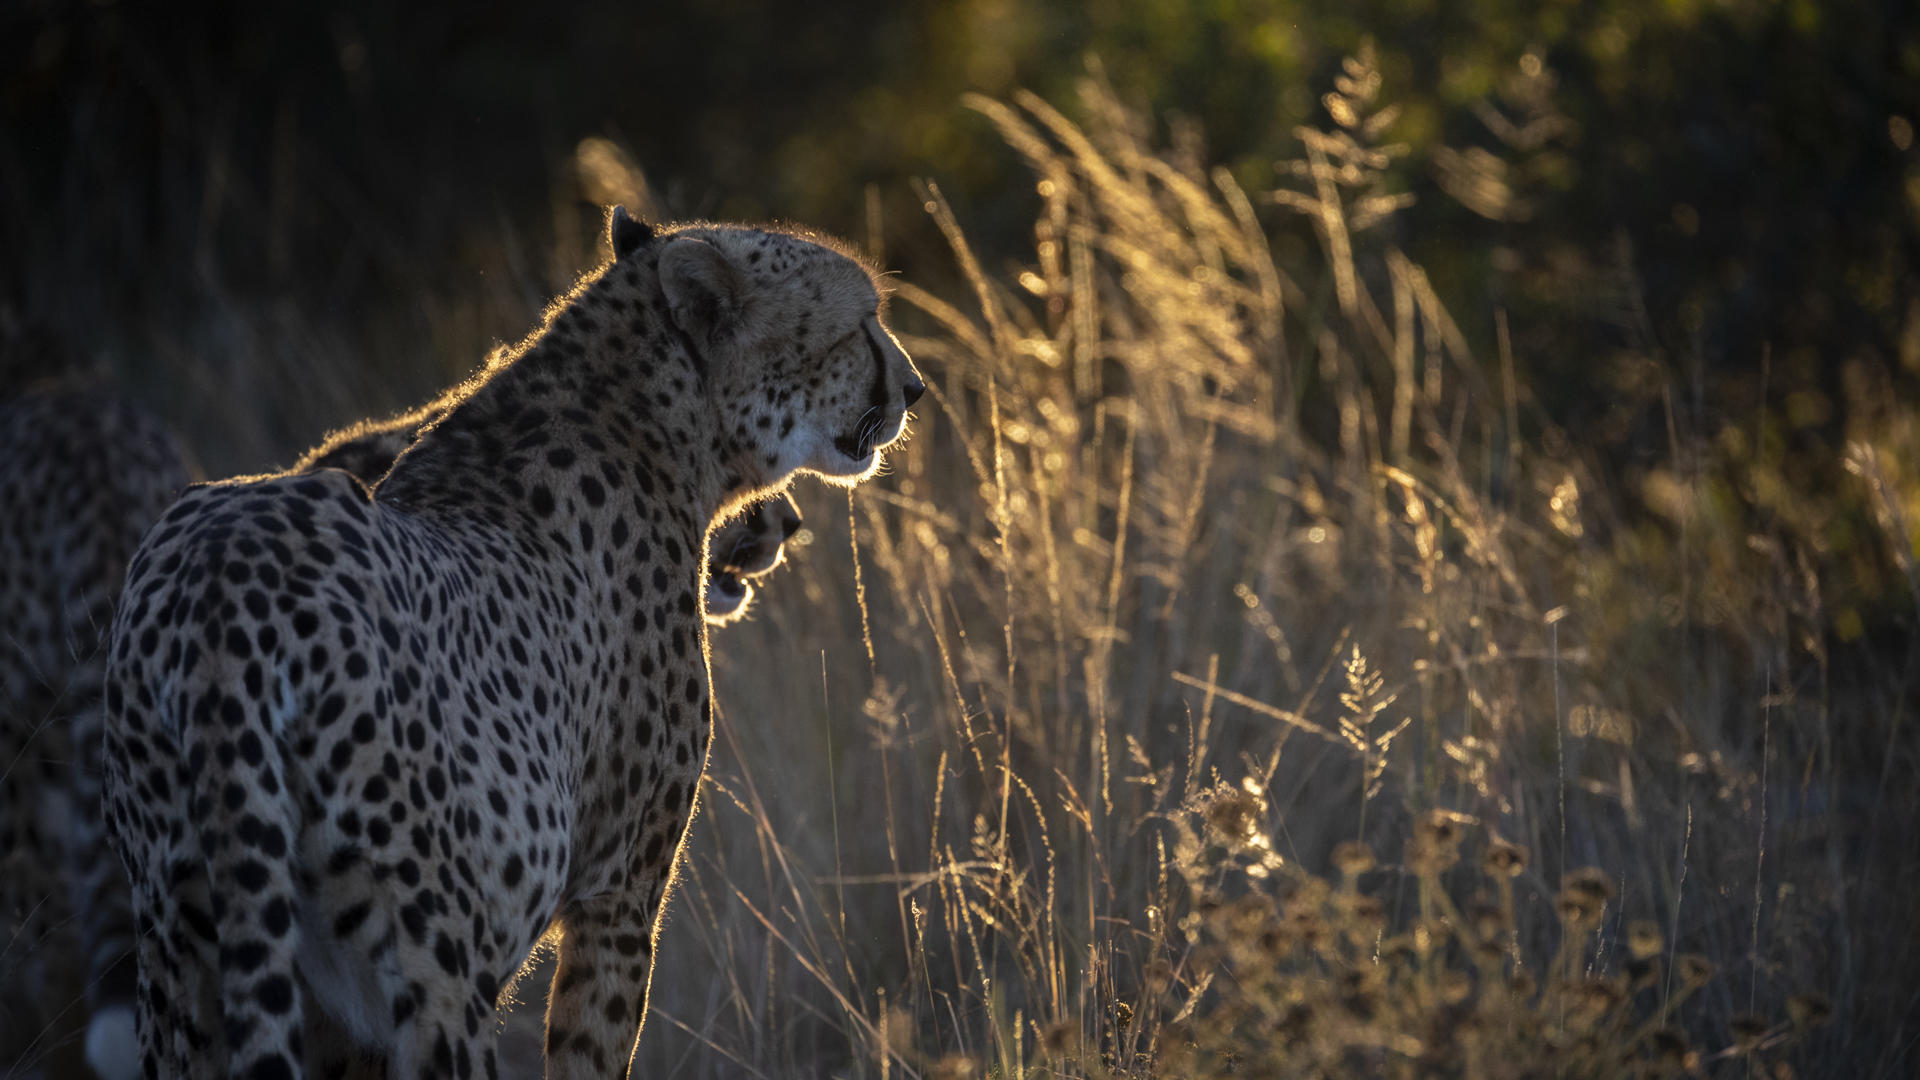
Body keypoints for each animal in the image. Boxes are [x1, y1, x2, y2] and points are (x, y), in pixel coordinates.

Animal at [100, 207, 921, 1079]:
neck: (653, 418)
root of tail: (221, 576)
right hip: (434, 965)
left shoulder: (333, 1029)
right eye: (860, 323)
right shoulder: (620, 892)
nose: (914, 388)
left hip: (182, 955)